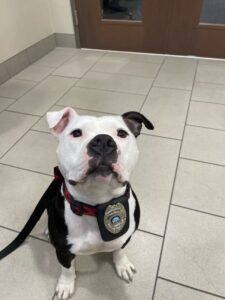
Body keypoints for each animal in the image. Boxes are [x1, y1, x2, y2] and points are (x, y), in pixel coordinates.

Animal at [0, 106, 153, 298]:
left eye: (122, 133)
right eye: (76, 133)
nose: (103, 141)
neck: (96, 205)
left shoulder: (126, 236)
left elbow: (119, 249)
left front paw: (122, 264)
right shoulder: (63, 251)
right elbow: (67, 269)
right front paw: (66, 285)